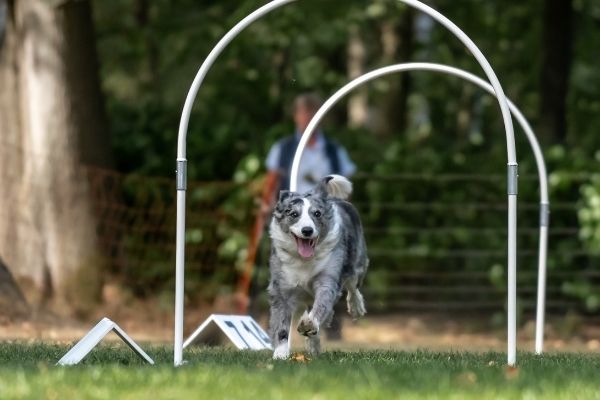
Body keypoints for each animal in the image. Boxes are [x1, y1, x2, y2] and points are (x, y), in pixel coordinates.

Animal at [268, 175, 370, 360]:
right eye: (294, 214)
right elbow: (281, 322)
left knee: (353, 285)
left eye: (317, 213)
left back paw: (356, 307)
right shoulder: (282, 286)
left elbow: (322, 303)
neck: (304, 260)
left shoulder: (328, 278)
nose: (307, 230)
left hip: (356, 260)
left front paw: (310, 323)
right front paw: (280, 353)